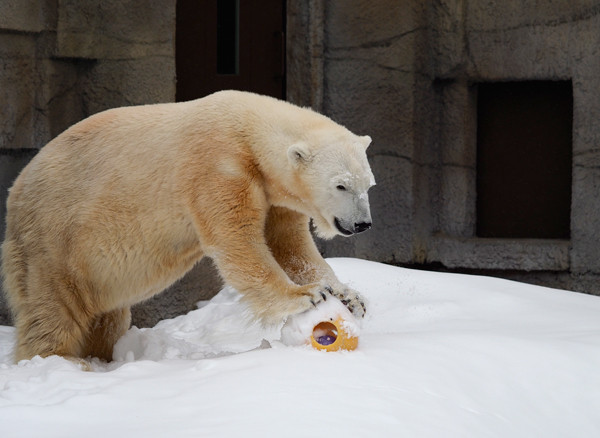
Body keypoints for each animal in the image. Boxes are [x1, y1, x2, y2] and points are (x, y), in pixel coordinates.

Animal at [1, 90, 376, 362]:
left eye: (368, 185)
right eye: (341, 185)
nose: (362, 224)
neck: (247, 128)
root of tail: (16, 189)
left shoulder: (272, 190)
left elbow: (289, 243)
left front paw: (349, 295)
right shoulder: (218, 166)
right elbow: (238, 241)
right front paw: (306, 295)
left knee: (106, 318)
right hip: (54, 237)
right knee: (53, 309)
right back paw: (61, 361)